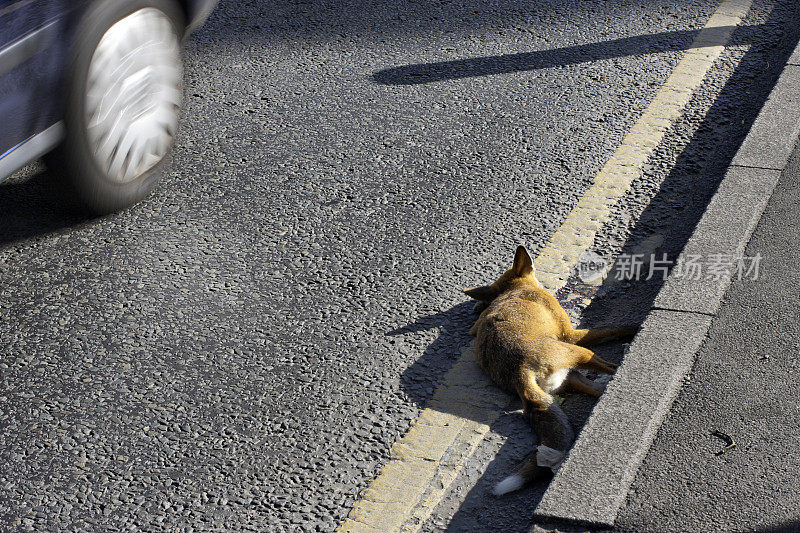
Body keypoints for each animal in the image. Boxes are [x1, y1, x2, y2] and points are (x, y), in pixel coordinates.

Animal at [462, 245, 636, 494]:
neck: (515, 291)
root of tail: (519, 372)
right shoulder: (570, 334)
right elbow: (611, 329)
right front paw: (634, 327)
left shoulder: (474, 328)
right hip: (577, 352)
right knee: (607, 366)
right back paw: (620, 366)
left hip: (569, 377)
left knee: (596, 389)